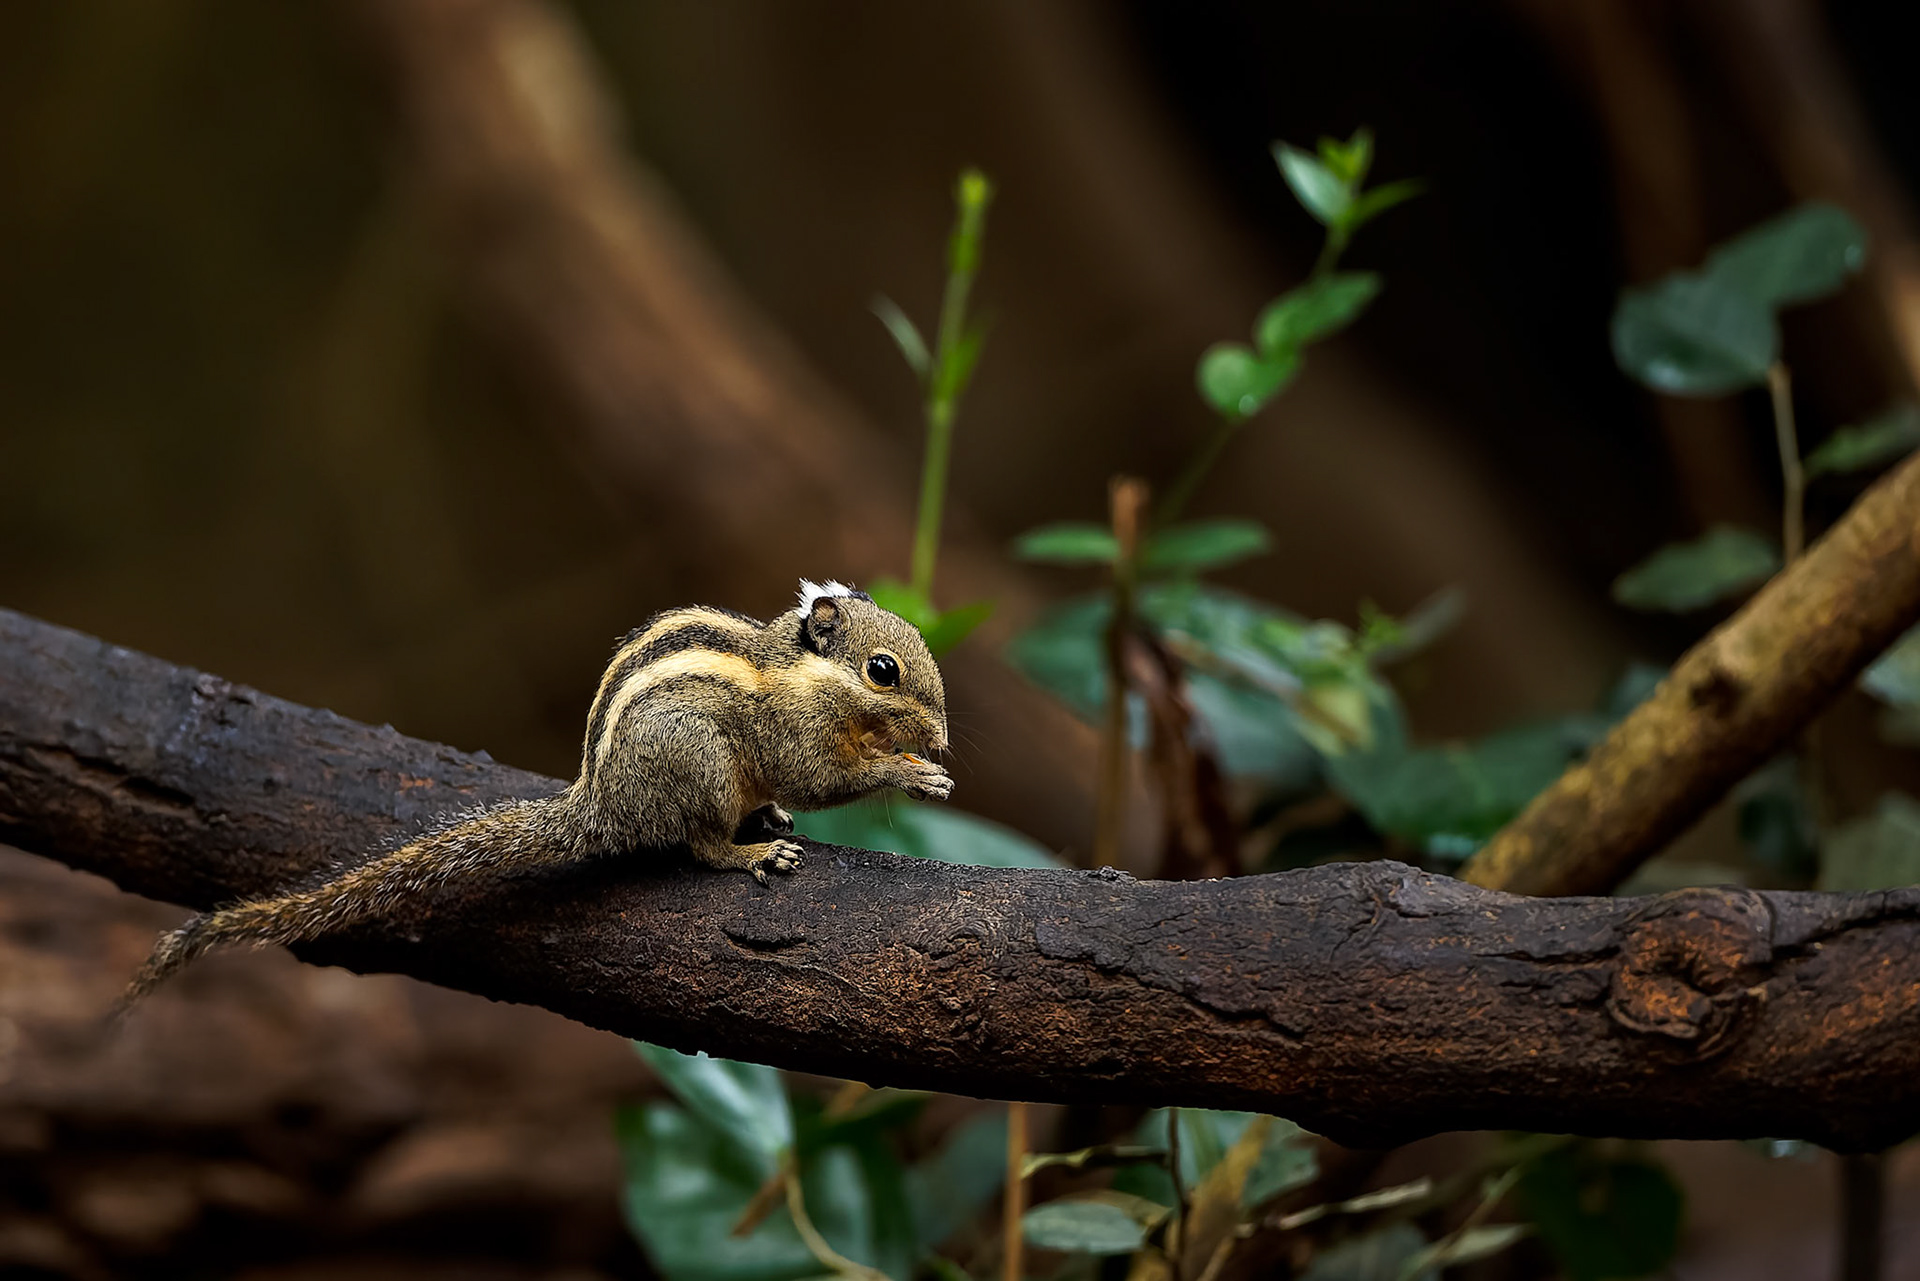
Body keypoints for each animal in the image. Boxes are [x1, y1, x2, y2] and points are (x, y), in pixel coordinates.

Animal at [120, 580, 953, 1009]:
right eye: (883, 670)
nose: (944, 738)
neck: (801, 671)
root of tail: (603, 802)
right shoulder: (791, 733)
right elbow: (820, 777)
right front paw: (913, 770)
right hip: (702, 761)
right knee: (701, 843)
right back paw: (753, 850)